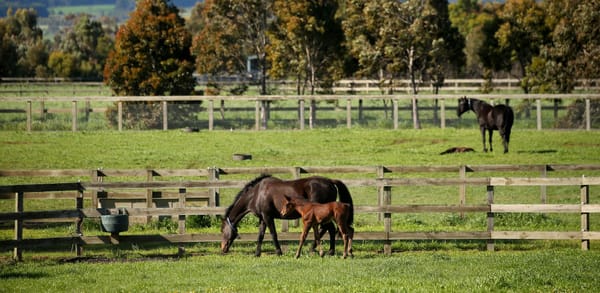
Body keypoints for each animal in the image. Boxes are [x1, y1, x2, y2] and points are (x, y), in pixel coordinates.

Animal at [219, 173, 352, 256]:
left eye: (222, 230)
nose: (223, 248)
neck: (257, 194)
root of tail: (330, 181)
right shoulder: (263, 218)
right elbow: (260, 235)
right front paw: (257, 253)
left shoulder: (268, 217)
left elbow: (273, 234)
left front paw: (279, 252)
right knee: (329, 229)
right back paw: (324, 250)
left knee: (329, 229)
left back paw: (324, 250)